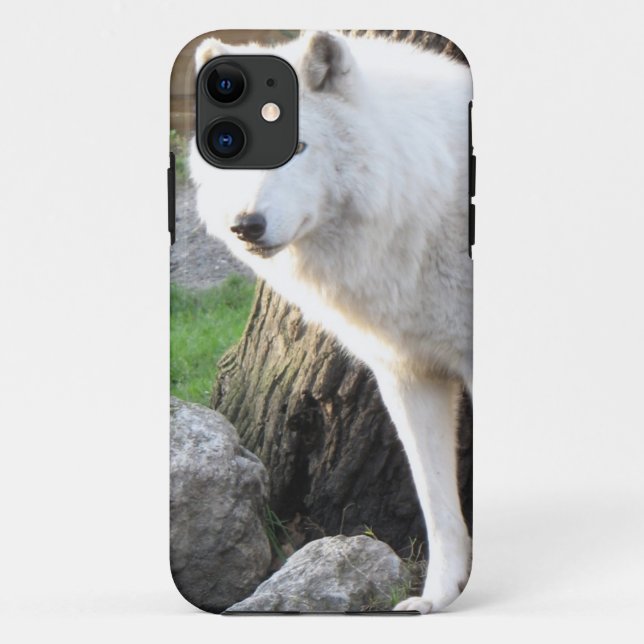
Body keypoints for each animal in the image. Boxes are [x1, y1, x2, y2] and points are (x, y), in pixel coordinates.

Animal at [189, 31, 473, 613]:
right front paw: (435, 600)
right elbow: (437, 504)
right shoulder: (409, 375)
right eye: (231, 148)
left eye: (296, 147)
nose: (246, 226)